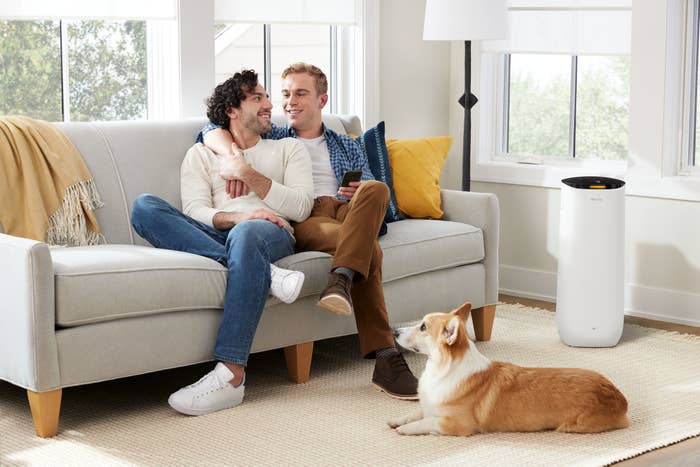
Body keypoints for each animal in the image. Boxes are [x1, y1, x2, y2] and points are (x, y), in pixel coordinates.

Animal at [388, 302, 628, 436]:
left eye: (423, 327)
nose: (394, 332)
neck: (441, 368)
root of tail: (620, 399)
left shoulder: (456, 424)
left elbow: (427, 421)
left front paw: (405, 429)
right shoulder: (429, 405)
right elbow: (417, 412)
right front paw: (398, 420)